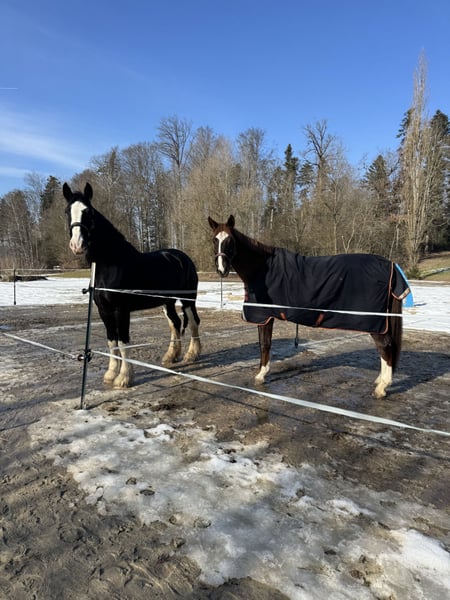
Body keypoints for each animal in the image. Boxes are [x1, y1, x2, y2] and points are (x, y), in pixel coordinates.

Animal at [63, 182, 201, 388]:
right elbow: (112, 341)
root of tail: (184, 258)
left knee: (193, 323)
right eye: (67, 212)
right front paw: (111, 374)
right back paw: (171, 356)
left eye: (88, 212)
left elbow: (123, 341)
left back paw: (192, 355)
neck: (110, 264)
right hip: (167, 302)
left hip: (187, 300)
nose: (77, 245)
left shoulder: (121, 310)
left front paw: (124, 378)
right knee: (175, 324)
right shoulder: (104, 311)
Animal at [208, 215, 411, 398]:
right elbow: (263, 344)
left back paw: (382, 388)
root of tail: (391, 265)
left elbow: (265, 344)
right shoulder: (266, 317)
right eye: (214, 240)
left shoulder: (264, 316)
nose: (221, 270)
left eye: (230, 241)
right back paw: (380, 381)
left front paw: (261, 375)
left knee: (385, 346)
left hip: (374, 322)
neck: (262, 269)